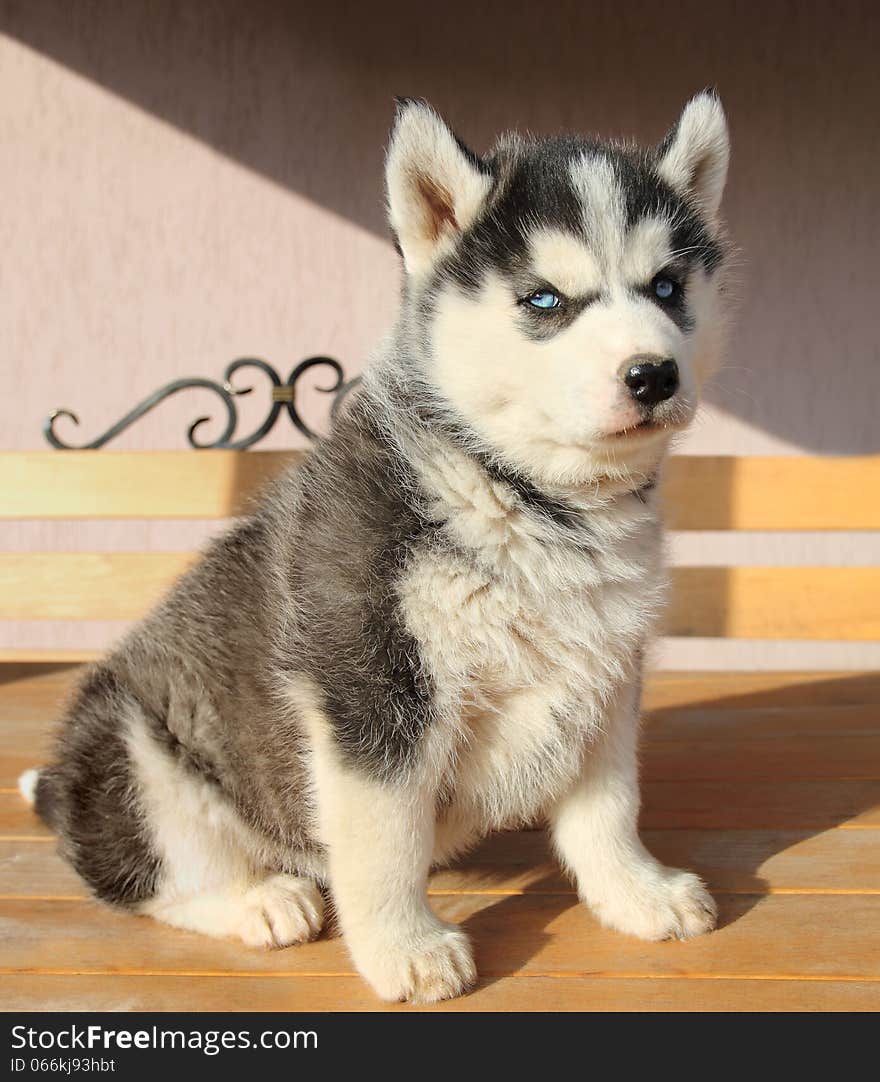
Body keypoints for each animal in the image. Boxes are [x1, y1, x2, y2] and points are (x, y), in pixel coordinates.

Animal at [24, 95, 731, 1004]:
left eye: (667, 287)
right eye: (544, 300)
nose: (653, 375)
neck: (522, 496)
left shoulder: (605, 672)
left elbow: (608, 808)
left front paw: (635, 891)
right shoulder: (371, 687)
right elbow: (385, 842)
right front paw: (406, 947)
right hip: (130, 751)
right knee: (150, 875)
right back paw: (259, 899)